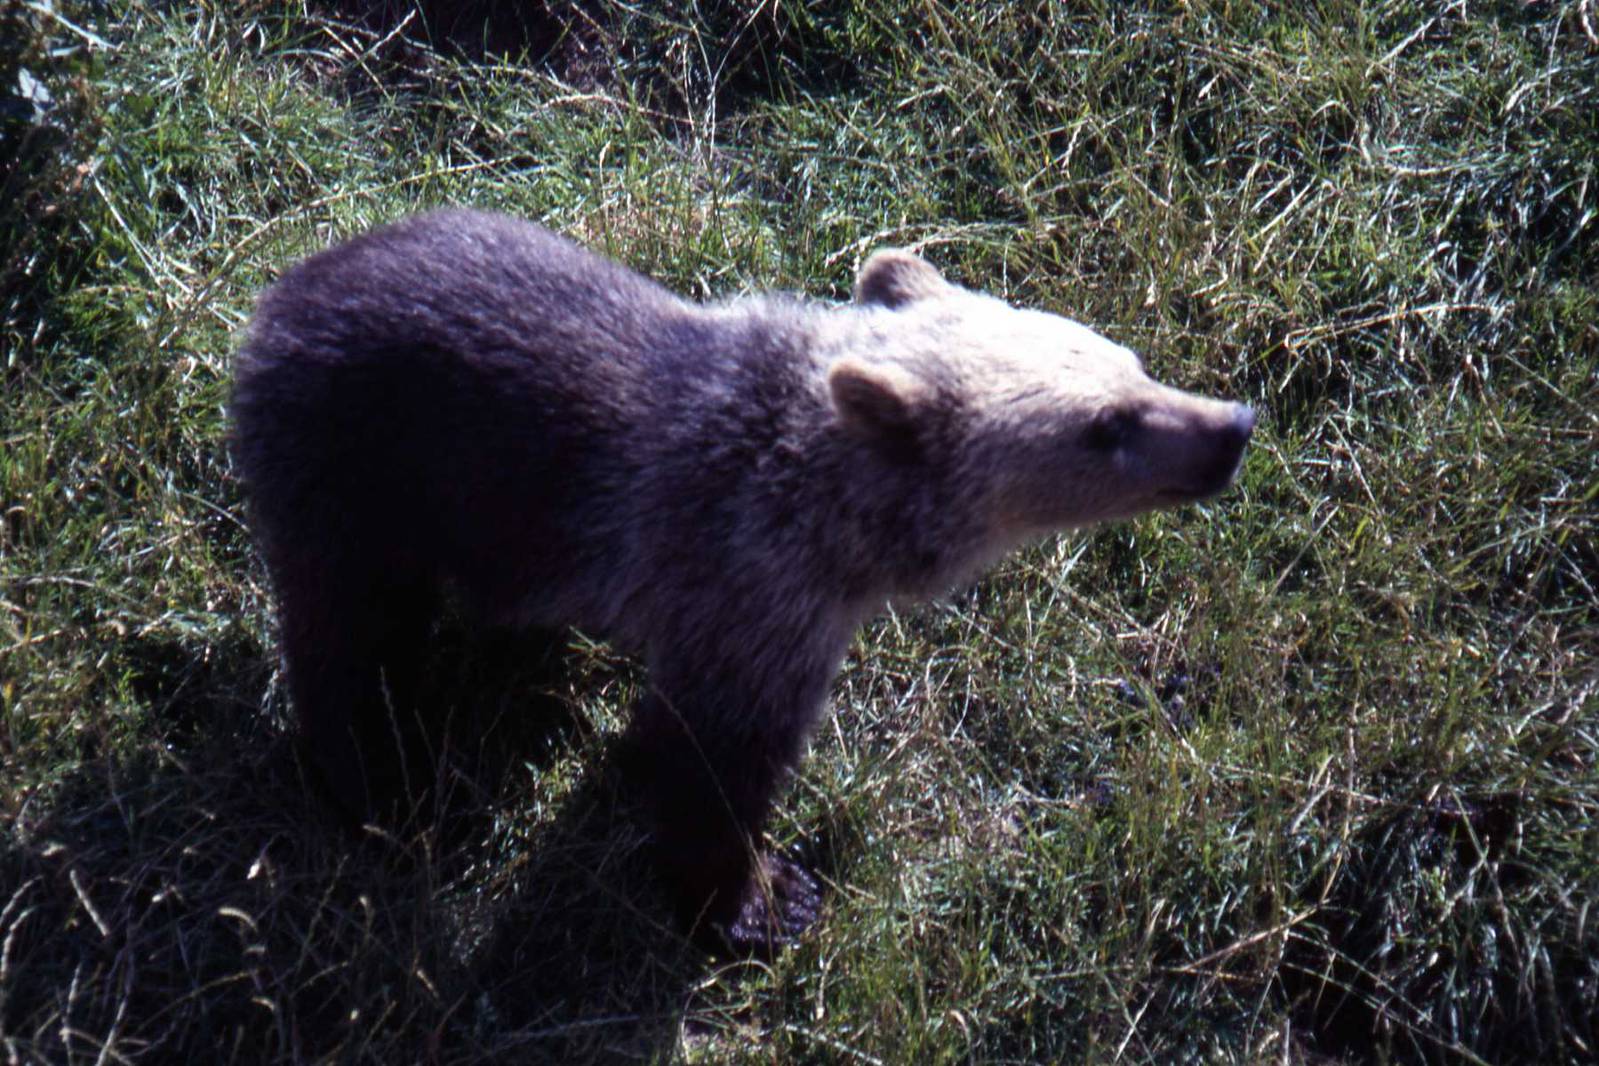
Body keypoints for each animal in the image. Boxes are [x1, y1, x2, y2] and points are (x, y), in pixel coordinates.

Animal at [230, 208, 1255, 954]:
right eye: (1103, 425)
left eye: (1127, 361)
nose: (1232, 426)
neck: (833, 528)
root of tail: (274, 301)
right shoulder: (743, 597)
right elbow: (711, 770)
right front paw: (761, 900)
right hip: (360, 489)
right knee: (345, 646)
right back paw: (381, 787)